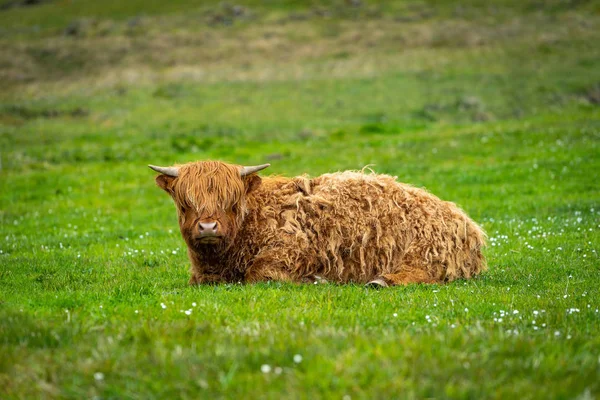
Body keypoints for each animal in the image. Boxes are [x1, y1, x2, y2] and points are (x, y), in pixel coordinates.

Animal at [150, 160, 488, 288]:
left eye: (231, 202)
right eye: (185, 202)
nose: (208, 228)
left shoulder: (289, 251)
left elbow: (258, 274)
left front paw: (315, 279)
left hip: (423, 251)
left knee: (421, 274)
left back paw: (380, 281)